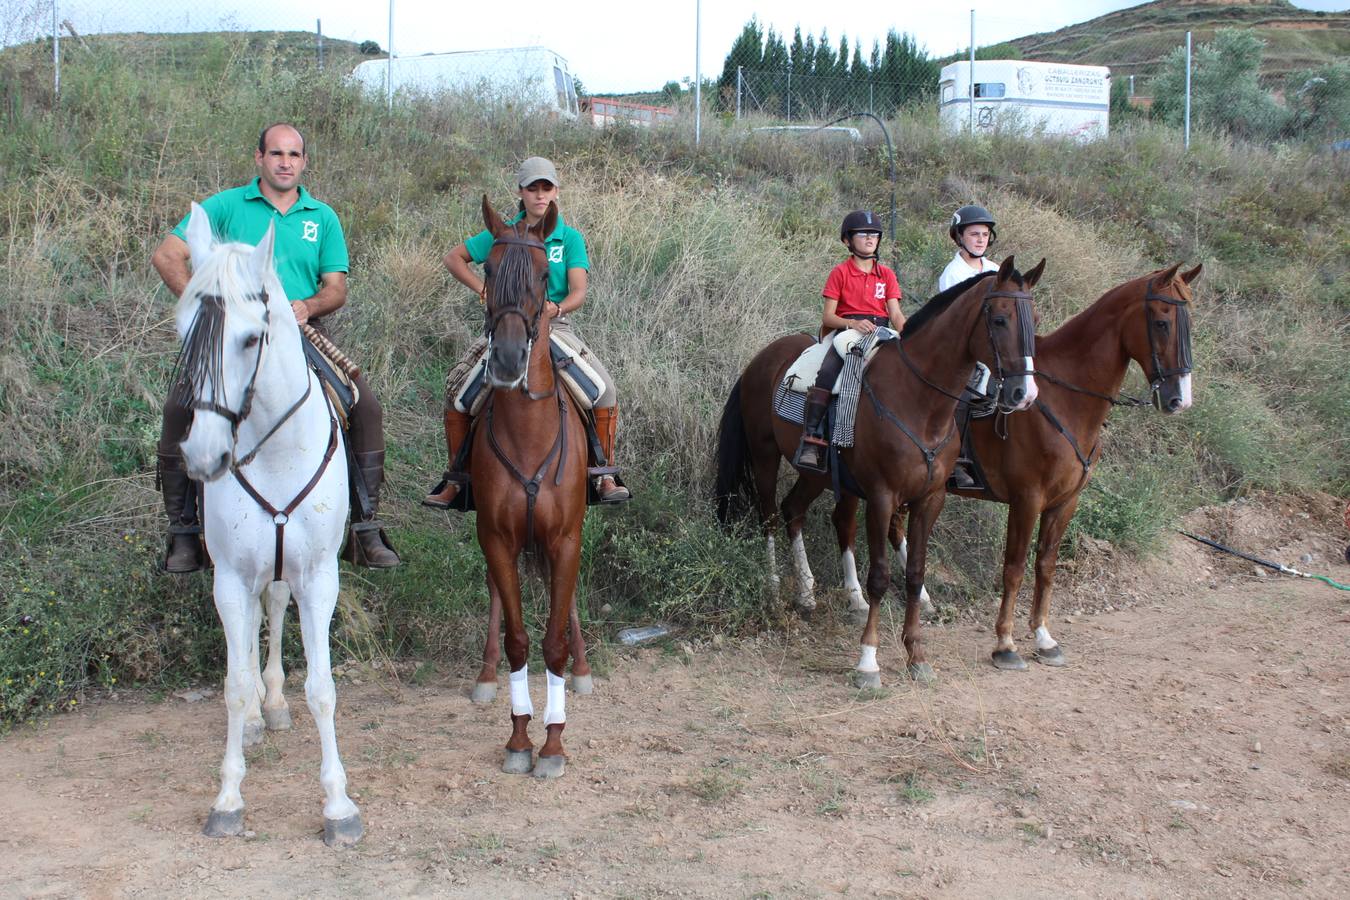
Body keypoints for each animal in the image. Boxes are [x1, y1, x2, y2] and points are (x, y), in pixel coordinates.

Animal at [175, 202, 364, 847]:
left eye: (251, 337)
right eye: (183, 333)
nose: (204, 456)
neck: (275, 452)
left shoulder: (319, 577)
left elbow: (323, 690)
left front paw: (339, 806)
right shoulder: (229, 579)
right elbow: (233, 688)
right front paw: (228, 798)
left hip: (288, 570)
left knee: (276, 610)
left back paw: (276, 702)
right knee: (257, 623)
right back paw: (262, 712)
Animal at [718, 256, 1042, 685]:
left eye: (1035, 320)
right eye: (1001, 319)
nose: (1024, 394)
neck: (919, 401)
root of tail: (763, 357)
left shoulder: (929, 499)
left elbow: (915, 573)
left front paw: (916, 654)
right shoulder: (882, 496)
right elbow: (880, 577)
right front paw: (868, 661)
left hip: (816, 473)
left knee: (793, 510)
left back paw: (806, 592)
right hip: (764, 454)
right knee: (769, 514)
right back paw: (773, 588)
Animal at [837, 260, 1198, 669]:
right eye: (1163, 323)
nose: (1179, 399)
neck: (1063, 398)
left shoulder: (1064, 502)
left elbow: (1046, 565)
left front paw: (1043, 636)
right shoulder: (1027, 498)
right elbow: (1014, 567)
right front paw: (1006, 644)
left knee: (895, 529)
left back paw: (923, 600)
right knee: (846, 524)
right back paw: (853, 599)